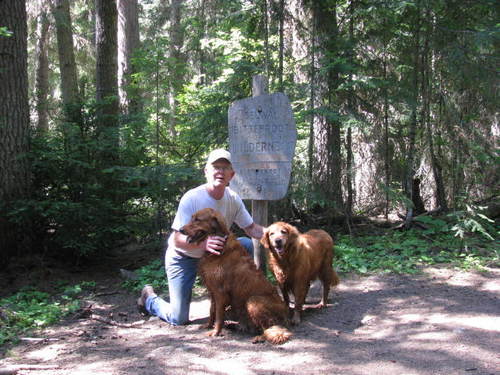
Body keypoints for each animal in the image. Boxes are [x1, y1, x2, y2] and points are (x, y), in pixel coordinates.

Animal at [180, 207, 292, 346]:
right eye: (192, 218)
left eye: (197, 219)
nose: (180, 230)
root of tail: (286, 312)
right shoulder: (211, 289)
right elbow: (212, 310)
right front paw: (208, 325)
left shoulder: (220, 292)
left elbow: (218, 315)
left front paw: (216, 332)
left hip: (253, 301)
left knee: (272, 328)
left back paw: (259, 337)